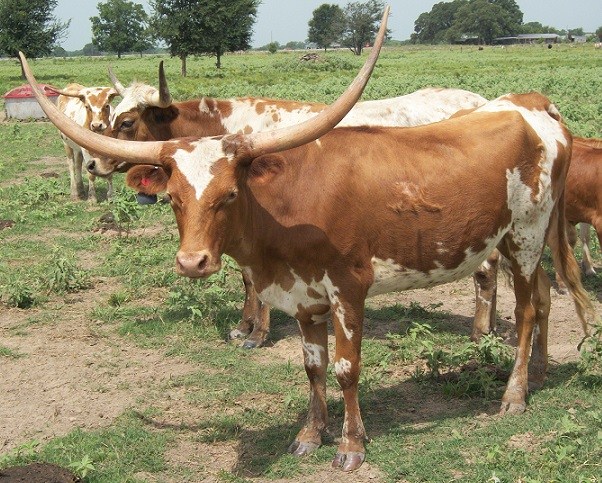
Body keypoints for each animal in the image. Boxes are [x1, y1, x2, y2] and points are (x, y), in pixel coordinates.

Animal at [89, 63, 487, 349]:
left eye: (127, 121)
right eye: (110, 115)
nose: (92, 163)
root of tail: (478, 101)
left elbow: (252, 279)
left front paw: (256, 333)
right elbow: (246, 277)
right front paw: (244, 325)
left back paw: (482, 333)